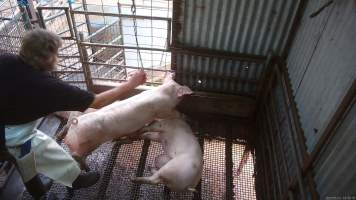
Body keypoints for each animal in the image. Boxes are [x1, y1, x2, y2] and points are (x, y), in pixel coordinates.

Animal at [63, 73, 192, 162]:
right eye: (182, 95)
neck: (165, 92)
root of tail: (75, 125)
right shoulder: (163, 109)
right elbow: (172, 114)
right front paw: (184, 116)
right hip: (87, 143)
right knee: (77, 155)